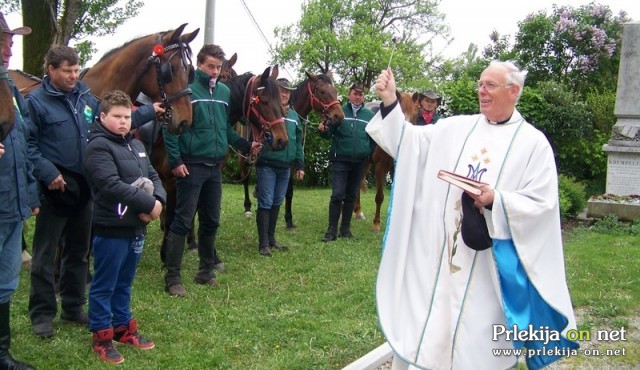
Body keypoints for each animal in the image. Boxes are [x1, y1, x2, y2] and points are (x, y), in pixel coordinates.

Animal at [352, 92, 418, 231]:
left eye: (415, 113)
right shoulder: (380, 168)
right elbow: (379, 197)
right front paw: (376, 223)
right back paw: (358, 211)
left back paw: (358, 211)